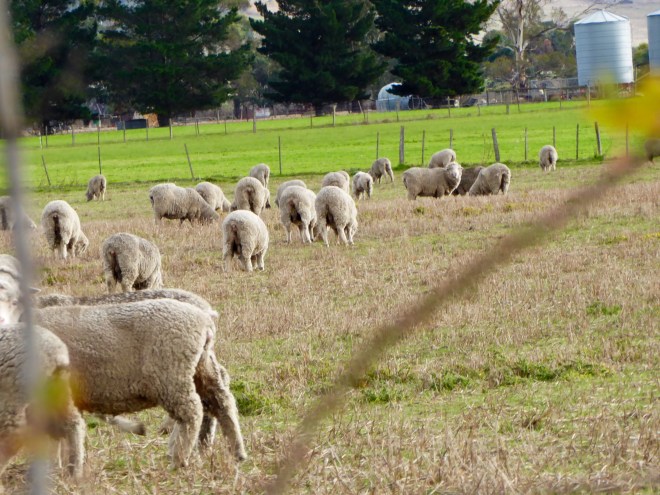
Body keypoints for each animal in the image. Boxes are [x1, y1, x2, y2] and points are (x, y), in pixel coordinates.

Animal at [0, 324, 86, 491]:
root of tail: (57, 353)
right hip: (57, 393)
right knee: (74, 424)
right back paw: (74, 473)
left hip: (14, 398)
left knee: (13, 436)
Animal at [35, 299, 247, 467]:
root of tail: (204, 320)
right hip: (201, 366)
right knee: (222, 401)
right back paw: (237, 452)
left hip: (171, 373)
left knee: (192, 411)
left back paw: (179, 459)